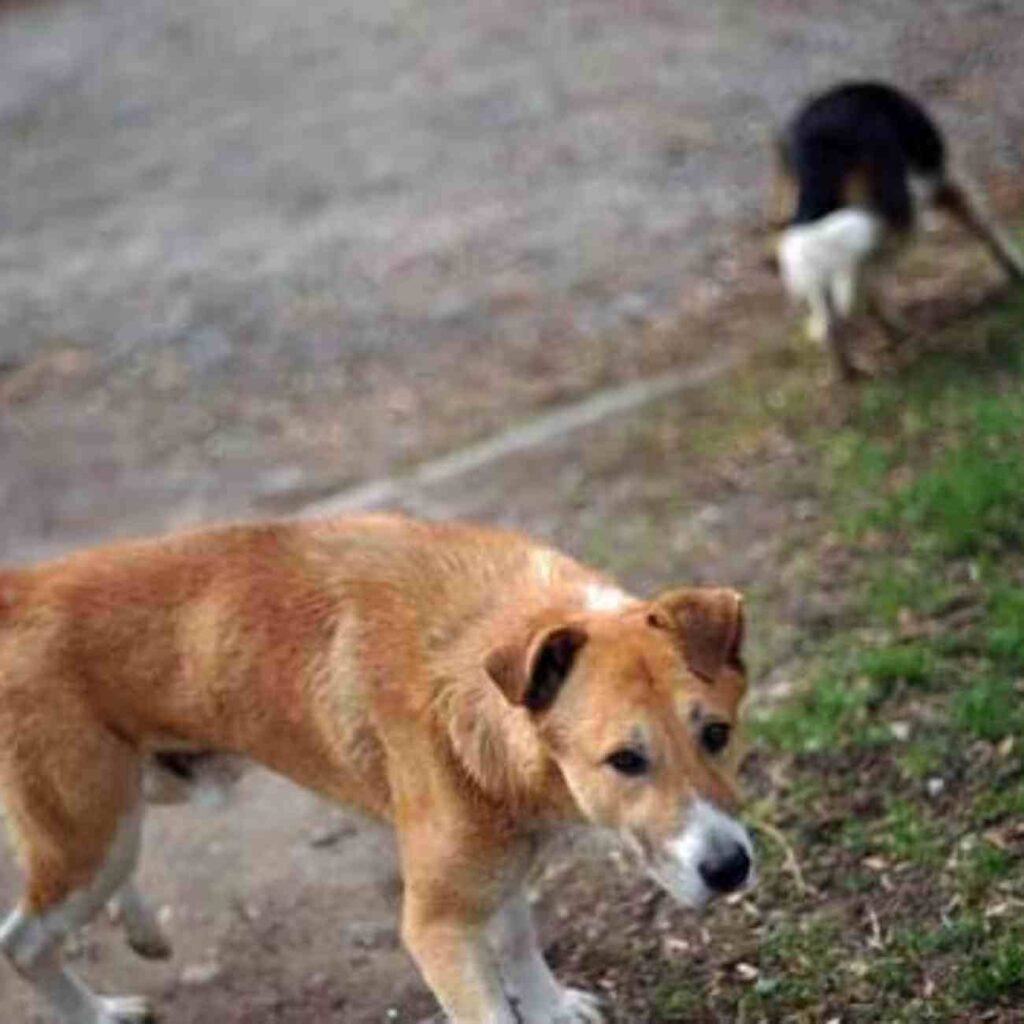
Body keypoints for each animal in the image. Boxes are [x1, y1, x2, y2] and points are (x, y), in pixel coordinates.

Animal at [0, 516, 753, 1019]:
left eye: (717, 734)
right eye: (624, 760)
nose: (730, 869)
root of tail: (19, 587)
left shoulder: (494, 864)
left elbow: (516, 939)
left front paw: (550, 1007)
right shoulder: (435, 925)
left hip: (137, 797)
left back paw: (141, 929)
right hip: (95, 830)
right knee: (24, 940)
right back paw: (97, 1012)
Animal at [774, 81, 1024, 380]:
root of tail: (818, 142)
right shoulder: (945, 178)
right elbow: (987, 226)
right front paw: (1017, 271)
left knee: (833, 301)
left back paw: (845, 366)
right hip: (905, 211)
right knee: (871, 283)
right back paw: (897, 331)